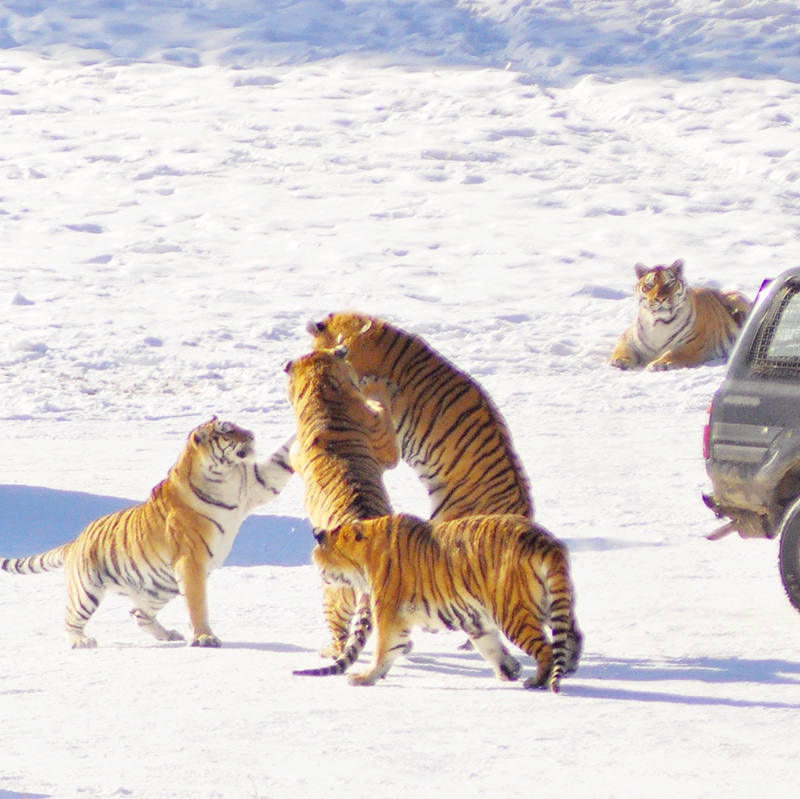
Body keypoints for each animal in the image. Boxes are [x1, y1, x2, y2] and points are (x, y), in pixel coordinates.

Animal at [0, 418, 294, 648]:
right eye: (226, 431)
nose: (252, 434)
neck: (227, 475)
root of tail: (75, 541)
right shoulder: (191, 561)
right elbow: (197, 603)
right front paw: (204, 638)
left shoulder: (259, 481)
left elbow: (282, 458)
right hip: (87, 590)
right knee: (72, 618)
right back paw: (81, 641)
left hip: (158, 589)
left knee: (138, 614)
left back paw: (167, 634)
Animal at [306, 516, 580, 692]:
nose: (321, 576)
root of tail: (548, 543)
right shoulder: (476, 620)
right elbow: (491, 647)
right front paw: (509, 670)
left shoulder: (389, 612)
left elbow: (384, 649)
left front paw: (364, 678)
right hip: (553, 604)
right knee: (573, 635)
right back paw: (568, 668)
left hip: (513, 613)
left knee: (545, 649)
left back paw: (537, 682)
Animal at [608, 260, 752, 374]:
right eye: (649, 285)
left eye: (669, 284)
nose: (660, 298)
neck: (658, 323)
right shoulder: (628, 338)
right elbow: (622, 349)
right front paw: (619, 360)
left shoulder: (692, 343)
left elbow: (675, 353)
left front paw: (660, 364)